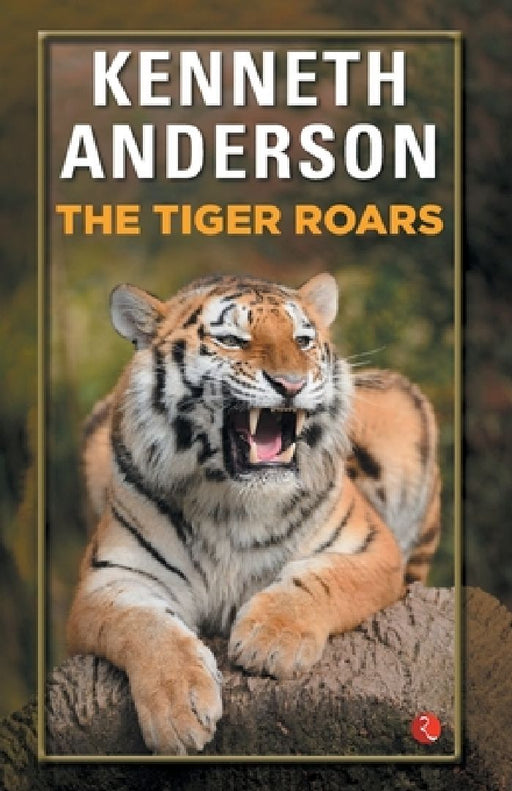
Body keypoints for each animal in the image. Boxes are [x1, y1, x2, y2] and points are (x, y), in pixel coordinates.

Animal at [67, 272, 441, 755]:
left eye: (302, 340)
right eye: (231, 340)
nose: (291, 384)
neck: (230, 502)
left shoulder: (370, 549)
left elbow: (321, 579)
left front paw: (272, 641)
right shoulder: (110, 578)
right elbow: (145, 624)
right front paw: (177, 711)